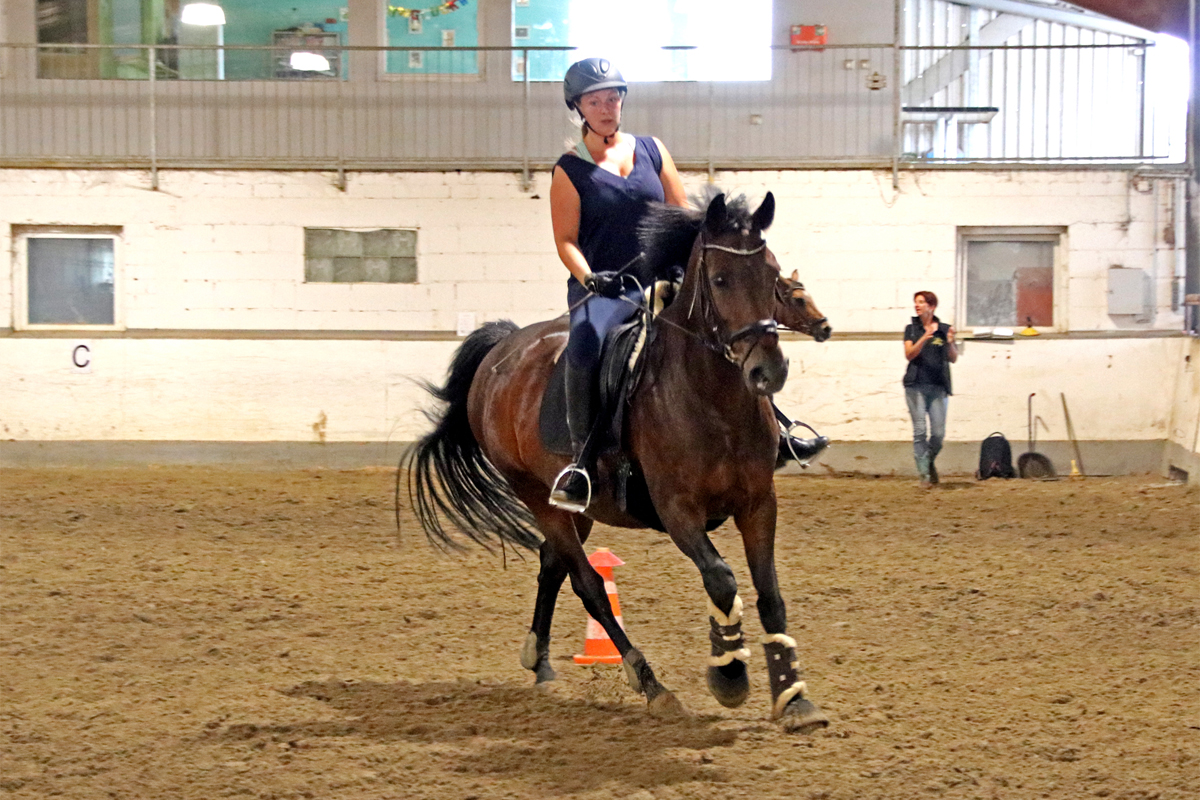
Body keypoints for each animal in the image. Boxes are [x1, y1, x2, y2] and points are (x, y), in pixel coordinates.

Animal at [408, 191, 830, 734]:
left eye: (774, 276)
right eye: (720, 280)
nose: (767, 371)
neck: (712, 401)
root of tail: (503, 349)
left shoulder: (759, 502)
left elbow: (770, 594)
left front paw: (794, 697)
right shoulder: (678, 510)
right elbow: (722, 579)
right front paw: (729, 673)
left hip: (579, 509)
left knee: (552, 563)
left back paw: (540, 663)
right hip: (536, 494)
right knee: (587, 583)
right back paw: (650, 684)